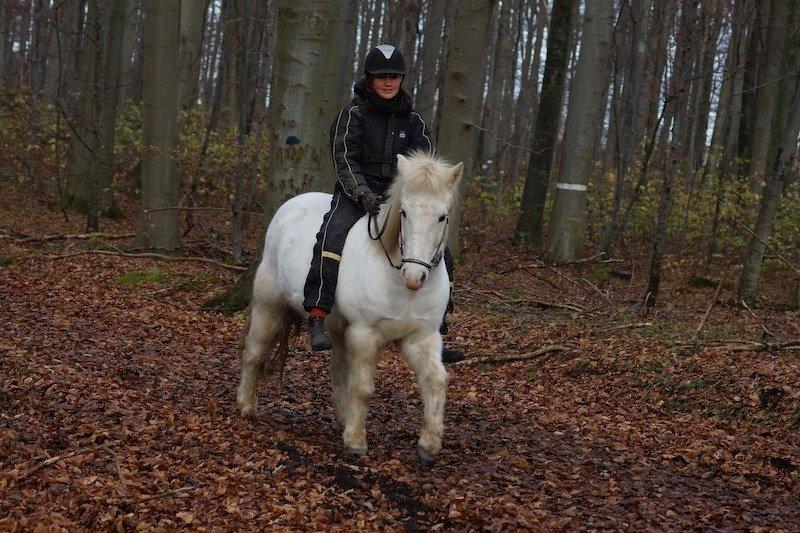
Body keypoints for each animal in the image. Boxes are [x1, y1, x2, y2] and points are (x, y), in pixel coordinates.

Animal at [236, 152, 462, 464]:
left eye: (443, 216)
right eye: (403, 212)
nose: (415, 277)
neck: (399, 283)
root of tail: (290, 205)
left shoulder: (421, 338)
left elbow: (436, 381)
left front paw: (428, 447)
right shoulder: (365, 334)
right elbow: (362, 387)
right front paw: (356, 442)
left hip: (340, 329)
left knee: (337, 371)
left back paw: (343, 419)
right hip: (269, 305)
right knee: (254, 353)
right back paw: (246, 406)